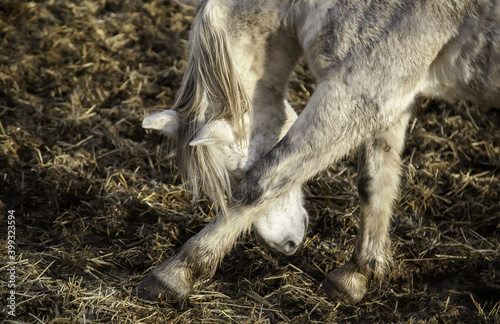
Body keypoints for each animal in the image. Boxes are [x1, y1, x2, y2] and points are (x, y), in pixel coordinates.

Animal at [136, 0, 500, 304]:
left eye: (237, 176)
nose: (286, 244)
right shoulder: (388, 100)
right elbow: (374, 183)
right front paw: (356, 276)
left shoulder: (356, 93)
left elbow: (267, 178)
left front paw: (175, 273)